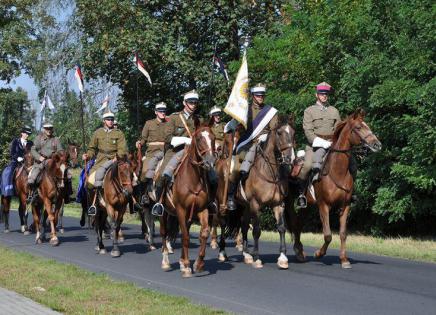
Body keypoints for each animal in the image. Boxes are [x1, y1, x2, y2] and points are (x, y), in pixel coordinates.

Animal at [159, 122, 217, 278]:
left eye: (213, 138)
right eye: (198, 138)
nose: (210, 162)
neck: (194, 179)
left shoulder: (202, 209)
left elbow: (204, 233)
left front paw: (198, 264)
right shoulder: (180, 209)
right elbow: (185, 237)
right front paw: (186, 266)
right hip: (163, 212)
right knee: (164, 233)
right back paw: (165, 262)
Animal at [233, 115, 298, 270]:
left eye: (294, 133)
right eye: (279, 133)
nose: (290, 159)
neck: (270, 173)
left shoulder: (278, 205)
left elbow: (281, 228)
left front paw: (283, 258)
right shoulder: (256, 204)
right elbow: (256, 230)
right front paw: (257, 258)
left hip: (245, 206)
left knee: (244, 225)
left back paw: (247, 255)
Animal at [284, 109, 380, 270]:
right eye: (359, 127)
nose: (377, 144)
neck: (337, 171)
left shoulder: (345, 206)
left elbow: (342, 233)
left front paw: (344, 260)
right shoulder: (324, 206)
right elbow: (328, 235)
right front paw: (318, 254)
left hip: (308, 207)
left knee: (298, 225)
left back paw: (300, 252)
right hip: (291, 202)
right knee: (295, 223)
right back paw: (299, 252)